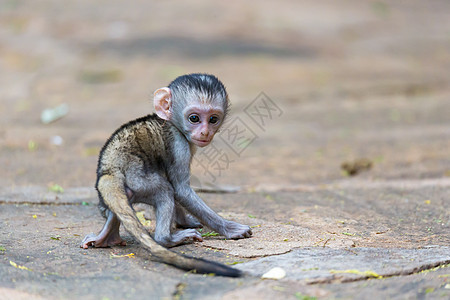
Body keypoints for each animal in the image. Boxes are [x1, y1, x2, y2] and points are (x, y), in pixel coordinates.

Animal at [82, 73, 251, 276]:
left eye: (213, 119)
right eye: (194, 118)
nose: (205, 132)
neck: (171, 123)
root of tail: (109, 172)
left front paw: (185, 221)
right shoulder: (180, 145)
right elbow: (180, 190)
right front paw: (230, 228)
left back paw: (106, 237)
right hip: (139, 180)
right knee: (164, 191)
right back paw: (166, 239)